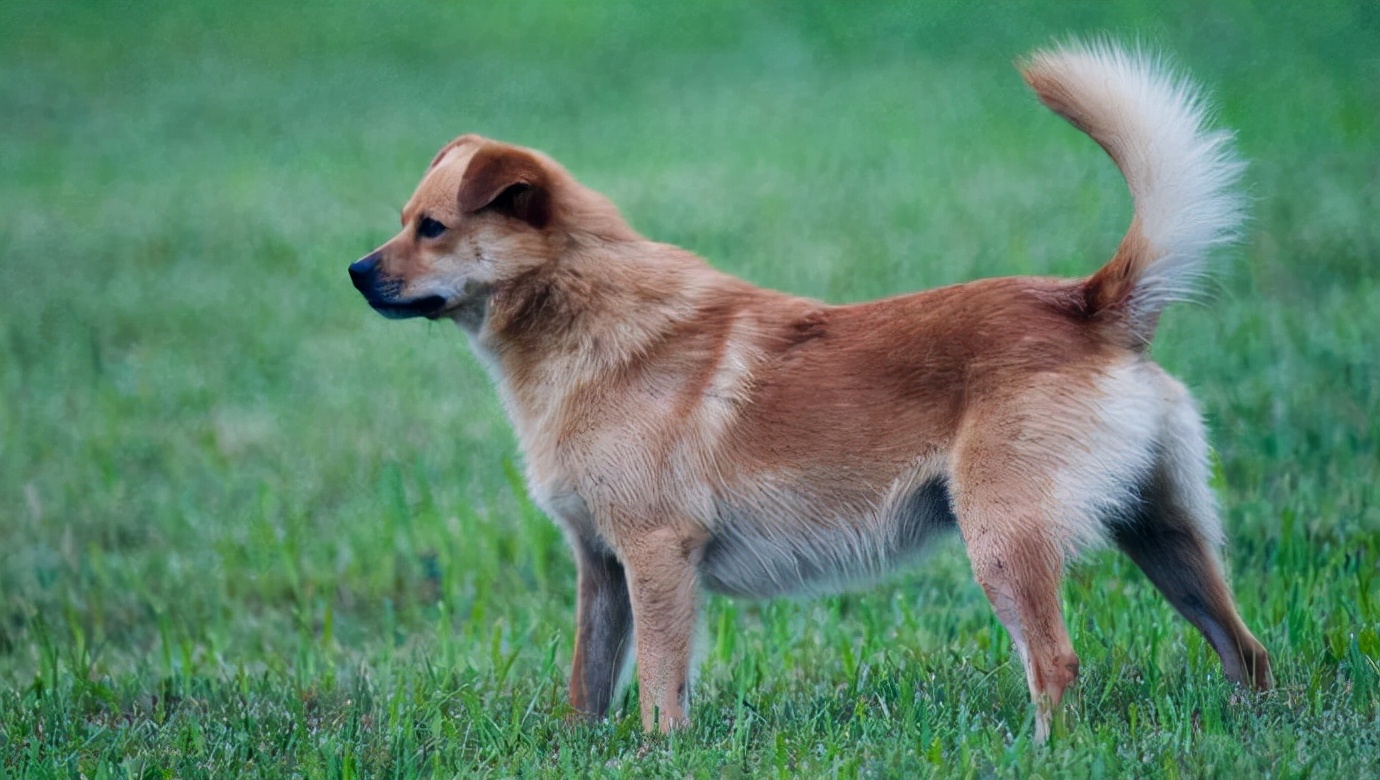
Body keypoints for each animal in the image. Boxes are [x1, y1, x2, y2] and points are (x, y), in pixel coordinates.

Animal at [347, 41, 1269, 734]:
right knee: (1245, 649)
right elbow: (589, 681)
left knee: (1057, 665)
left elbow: (658, 690)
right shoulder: (600, 566)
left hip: (1007, 541)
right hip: (1163, 533)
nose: (354, 272)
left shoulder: (656, 555)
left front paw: (656, 752)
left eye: (432, 228)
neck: (584, 315)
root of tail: (1090, 303)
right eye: (402, 222)